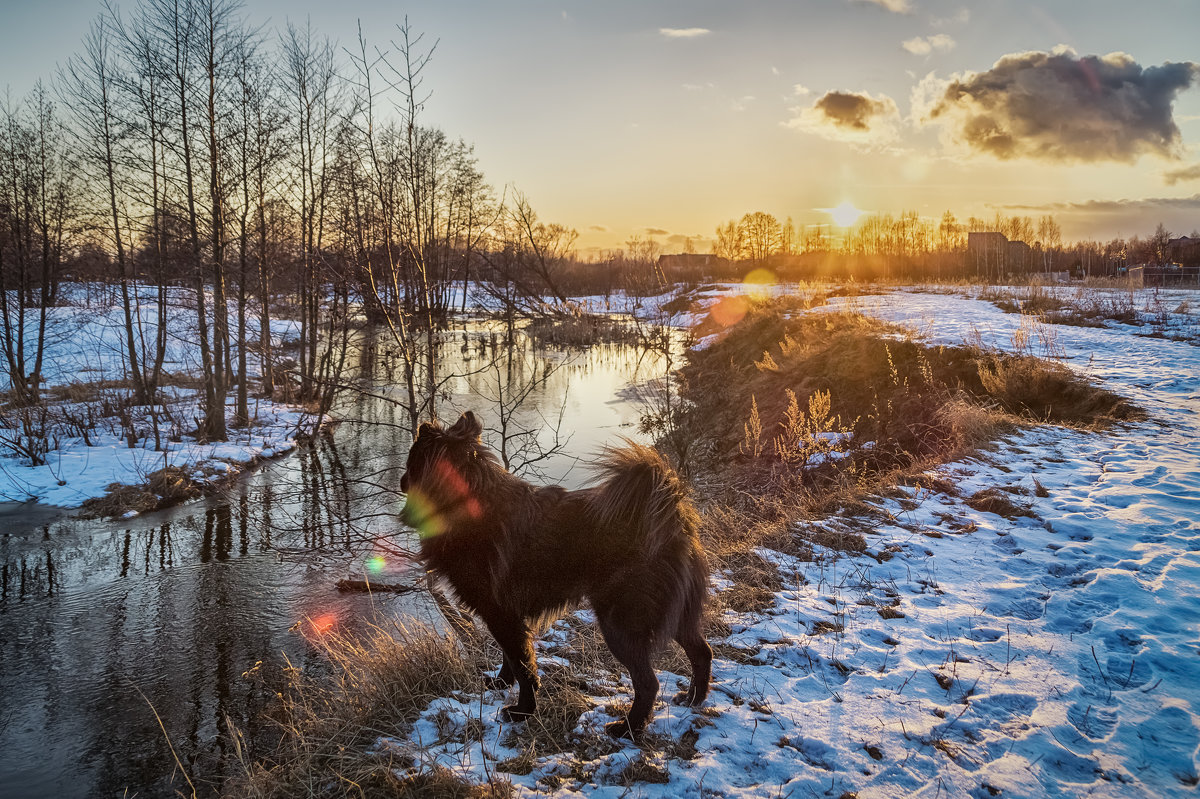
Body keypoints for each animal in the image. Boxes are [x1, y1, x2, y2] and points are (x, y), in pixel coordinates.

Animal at [398, 412, 710, 739]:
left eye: (410, 461)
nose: (400, 480)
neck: (464, 505)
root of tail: (673, 518)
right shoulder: (508, 616)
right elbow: (511, 658)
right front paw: (501, 684)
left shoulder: (500, 613)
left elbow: (523, 665)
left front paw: (522, 711)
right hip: (675, 612)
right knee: (703, 652)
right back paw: (693, 699)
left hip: (621, 622)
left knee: (649, 682)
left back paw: (627, 728)